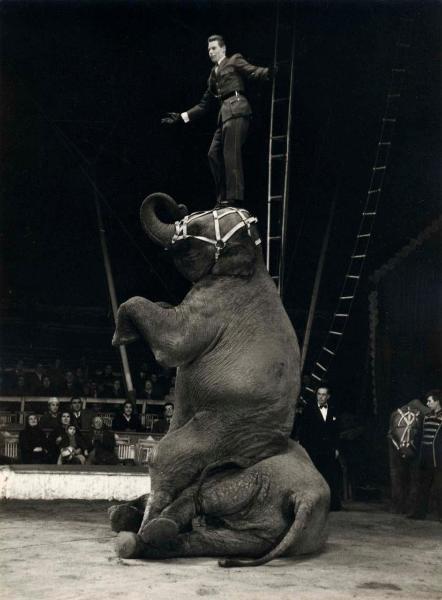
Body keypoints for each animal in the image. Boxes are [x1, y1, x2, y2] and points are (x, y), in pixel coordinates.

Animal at [110, 440, 332, 568]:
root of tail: (306, 497)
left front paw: (119, 515)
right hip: (267, 525)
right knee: (210, 541)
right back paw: (132, 543)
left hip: (261, 478)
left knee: (207, 499)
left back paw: (138, 537)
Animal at [112, 195, 302, 540]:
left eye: (199, 227)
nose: (177, 207)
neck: (255, 264)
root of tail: (258, 452)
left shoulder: (214, 306)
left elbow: (173, 344)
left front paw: (121, 336)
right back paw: (130, 517)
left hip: (226, 426)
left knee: (167, 455)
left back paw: (147, 530)